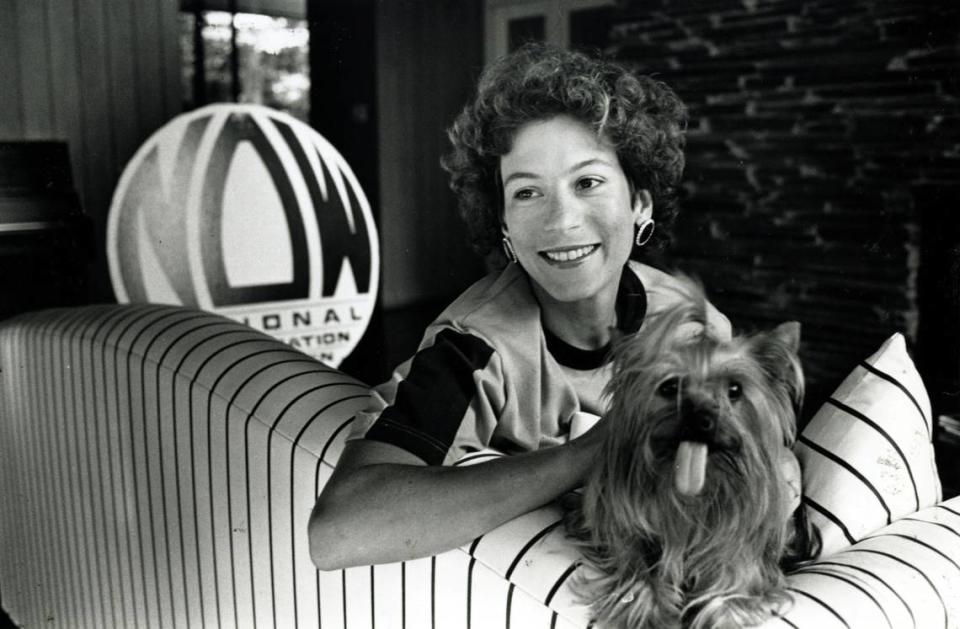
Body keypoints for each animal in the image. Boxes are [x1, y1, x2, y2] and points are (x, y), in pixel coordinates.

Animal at [568, 282, 820, 628]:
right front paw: (652, 611)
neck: (696, 495)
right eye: (669, 387)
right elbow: (640, 575)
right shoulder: (628, 537)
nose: (700, 419)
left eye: (734, 390)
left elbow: (727, 595)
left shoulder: (740, 559)